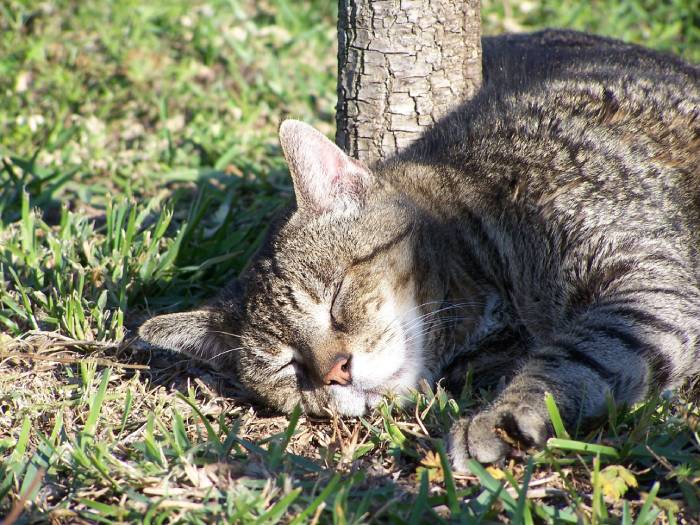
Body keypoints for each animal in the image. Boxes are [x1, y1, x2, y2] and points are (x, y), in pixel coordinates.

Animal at [138, 29, 700, 466]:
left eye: (336, 299)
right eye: (288, 367)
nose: (335, 372)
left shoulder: (643, 278)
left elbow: (579, 353)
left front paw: (504, 417)